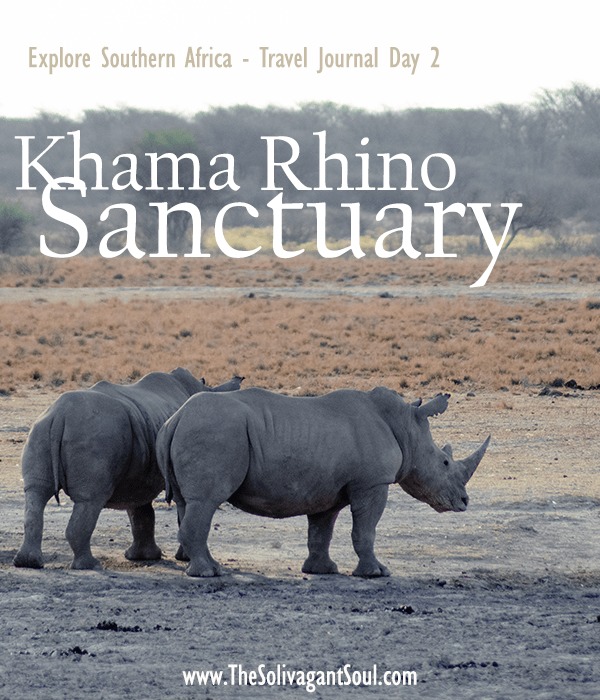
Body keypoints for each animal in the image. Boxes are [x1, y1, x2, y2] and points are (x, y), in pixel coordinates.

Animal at [13, 368, 243, 570]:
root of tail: (60, 415)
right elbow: (179, 511)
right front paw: (184, 558)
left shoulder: (138, 475)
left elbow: (140, 512)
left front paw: (142, 557)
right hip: (95, 433)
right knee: (90, 499)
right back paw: (91, 565)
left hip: (42, 429)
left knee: (36, 493)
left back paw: (28, 563)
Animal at [156, 387, 490, 578]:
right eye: (444, 463)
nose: (464, 502)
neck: (406, 427)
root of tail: (176, 418)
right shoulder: (372, 483)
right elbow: (365, 530)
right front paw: (377, 573)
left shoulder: (326, 490)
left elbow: (321, 532)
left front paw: (323, 570)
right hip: (215, 431)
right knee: (206, 501)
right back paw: (208, 574)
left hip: (197, 429)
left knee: (188, 502)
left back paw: (202, 566)